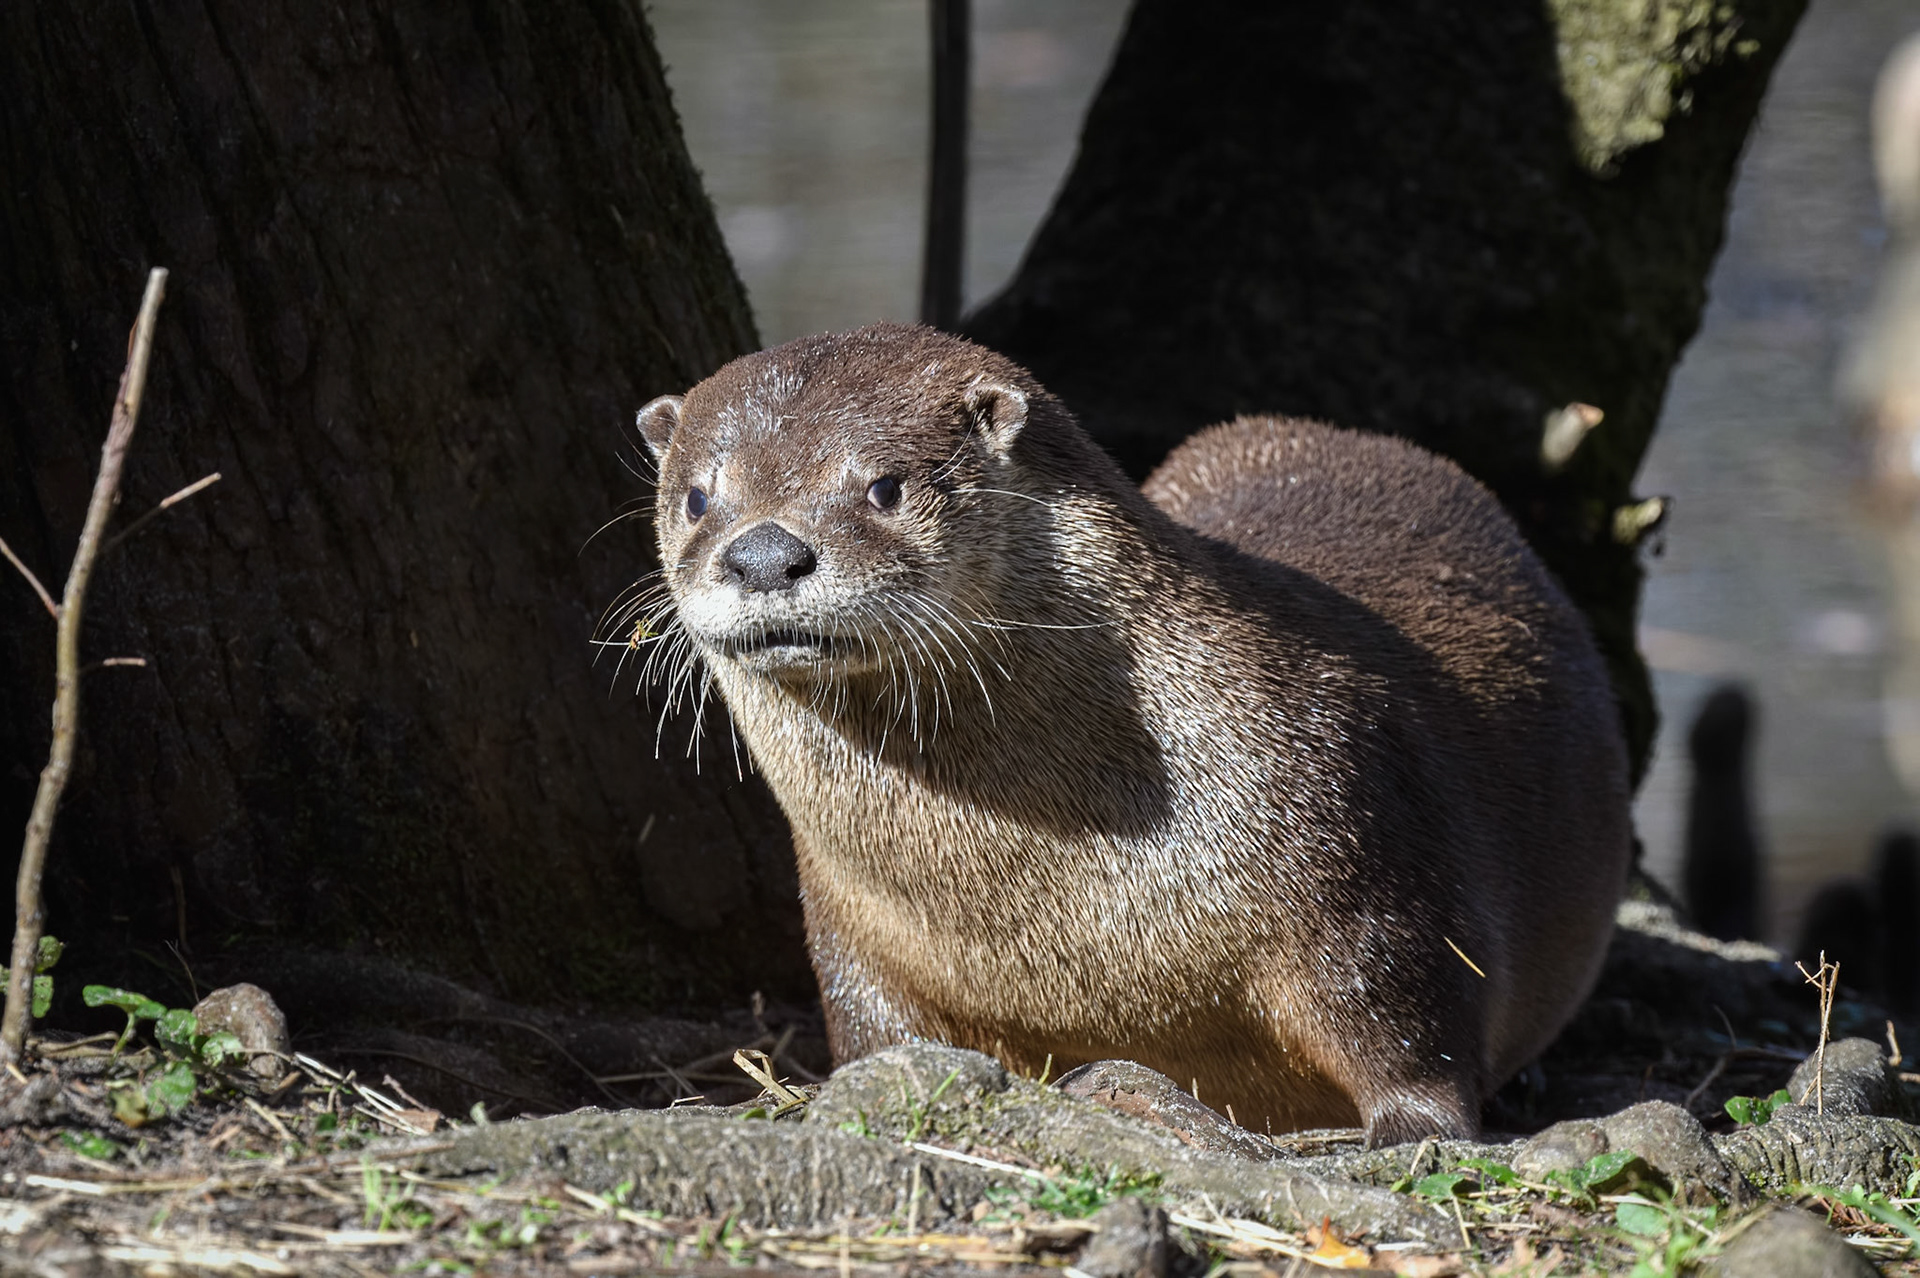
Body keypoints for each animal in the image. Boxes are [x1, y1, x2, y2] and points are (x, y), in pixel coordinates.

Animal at [629, 323, 1631, 1145]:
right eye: (698, 498)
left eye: (884, 485)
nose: (764, 553)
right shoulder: (849, 925)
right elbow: (872, 1027)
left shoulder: (1356, 839)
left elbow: (1407, 1005)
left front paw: (1412, 1128)